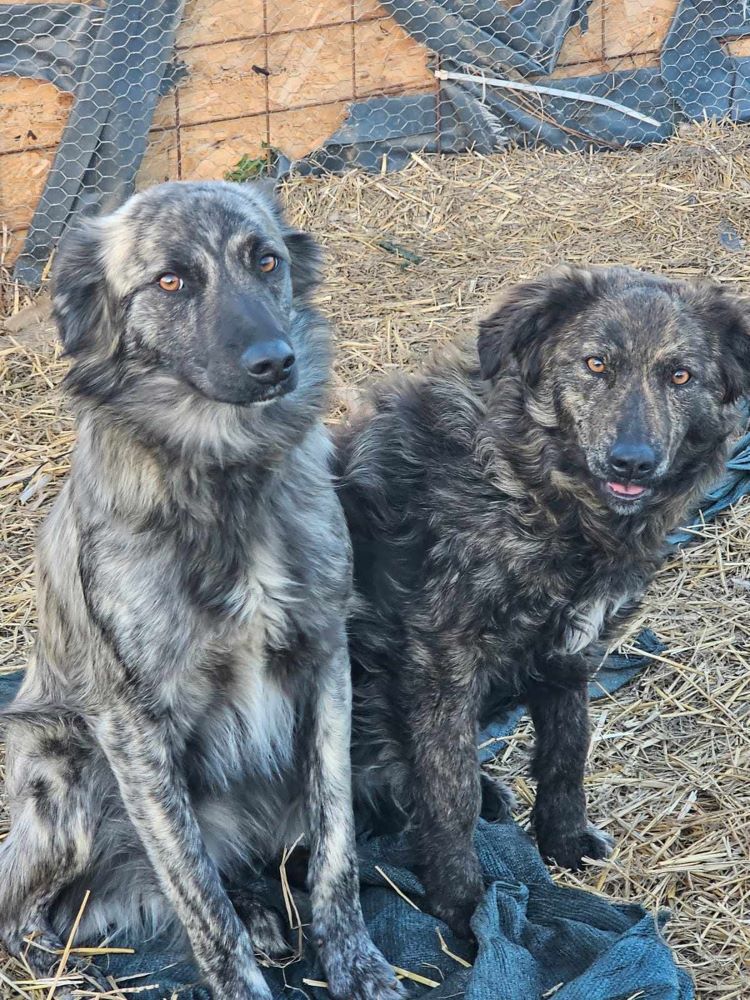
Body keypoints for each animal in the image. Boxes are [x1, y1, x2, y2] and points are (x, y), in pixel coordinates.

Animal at [0, 180, 406, 1000]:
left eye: (266, 260)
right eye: (170, 281)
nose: (274, 362)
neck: (225, 480)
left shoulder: (327, 662)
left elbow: (336, 849)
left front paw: (355, 962)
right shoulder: (131, 726)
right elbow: (196, 894)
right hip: (66, 771)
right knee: (24, 917)